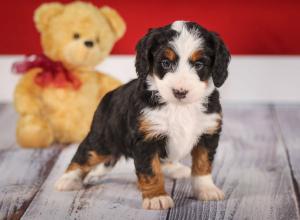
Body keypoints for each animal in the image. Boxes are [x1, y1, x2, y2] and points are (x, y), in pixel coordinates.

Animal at [55, 20, 231, 210]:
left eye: (199, 64)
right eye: (165, 63)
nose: (180, 92)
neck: (179, 107)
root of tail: (108, 96)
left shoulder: (208, 132)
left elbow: (202, 164)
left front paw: (206, 189)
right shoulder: (146, 139)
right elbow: (150, 170)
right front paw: (156, 197)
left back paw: (175, 168)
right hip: (103, 138)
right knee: (85, 154)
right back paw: (67, 180)